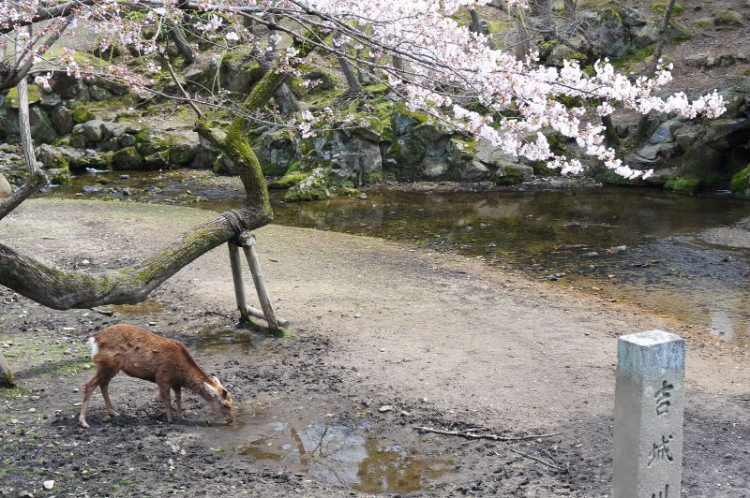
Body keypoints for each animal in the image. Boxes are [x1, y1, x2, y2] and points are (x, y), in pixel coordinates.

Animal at [79, 322, 232, 428]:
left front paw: (181, 417)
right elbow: (167, 399)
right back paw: (84, 422)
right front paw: (170, 420)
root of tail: (94, 339)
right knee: (89, 385)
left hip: (110, 368)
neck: (182, 373)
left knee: (103, 385)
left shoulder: (176, 383)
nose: (231, 420)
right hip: (106, 365)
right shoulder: (162, 377)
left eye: (232, 402)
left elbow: (178, 398)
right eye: (224, 405)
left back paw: (113, 412)